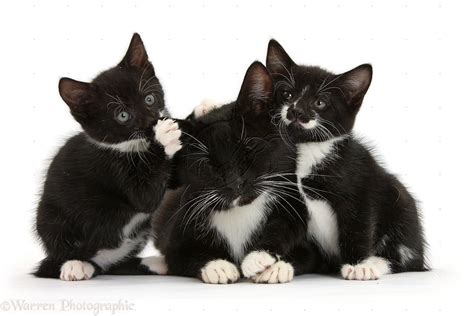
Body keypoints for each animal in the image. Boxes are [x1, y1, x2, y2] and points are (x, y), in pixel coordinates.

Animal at [34, 34, 180, 282]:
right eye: (122, 115)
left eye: (149, 99)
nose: (152, 121)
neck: (131, 148)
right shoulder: (112, 171)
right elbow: (147, 198)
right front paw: (164, 136)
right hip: (49, 217)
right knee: (62, 252)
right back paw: (74, 265)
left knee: (115, 264)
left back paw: (155, 263)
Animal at [264, 40, 428, 282]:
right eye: (287, 94)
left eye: (320, 102)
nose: (296, 111)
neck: (307, 151)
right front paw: (276, 264)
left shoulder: (361, 184)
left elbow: (357, 226)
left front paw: (358, 265)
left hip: (402, 205)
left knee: (406, 260)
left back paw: (376, 263)